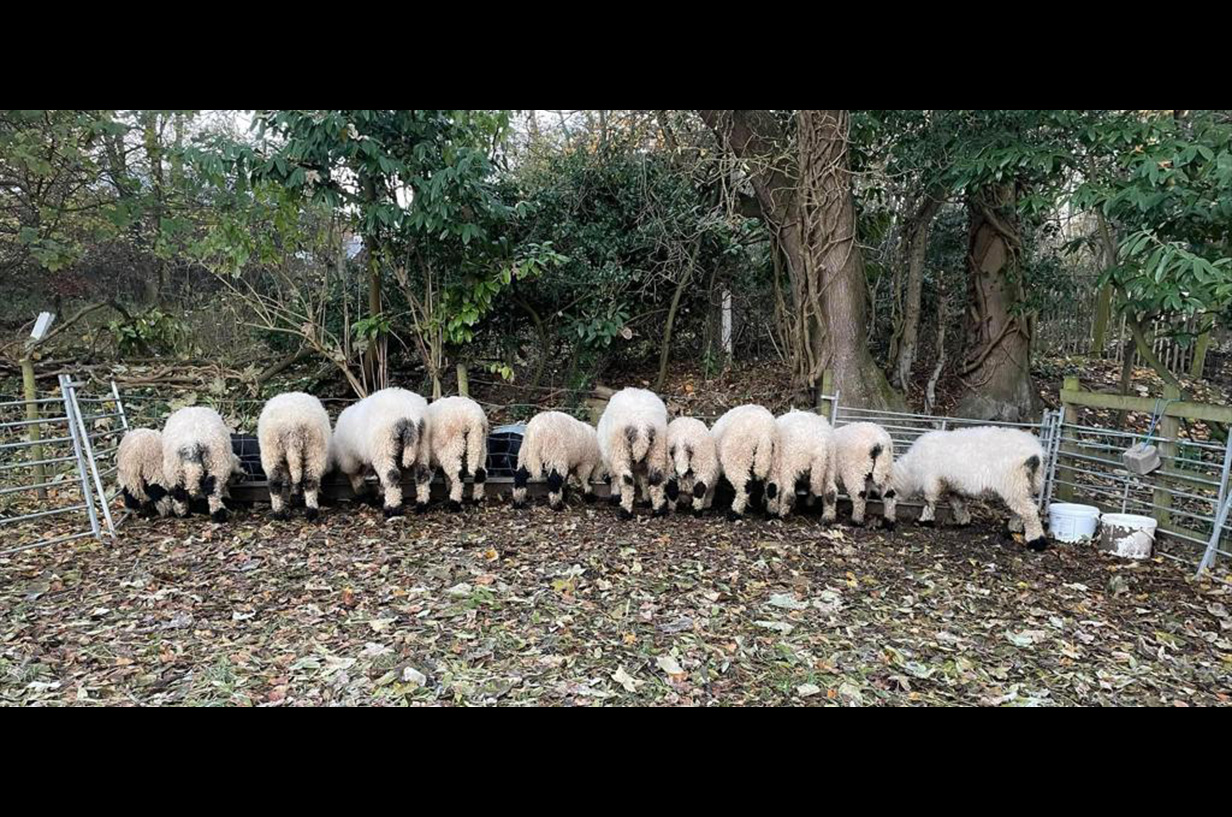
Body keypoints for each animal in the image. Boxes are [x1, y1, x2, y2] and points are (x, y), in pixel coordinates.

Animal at [257, 392, 332, 522]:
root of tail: (292, 426)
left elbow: (290, 479)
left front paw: (294, 497)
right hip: (314, 448)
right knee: (310, 480)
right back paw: (312, 512)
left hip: (272, 450)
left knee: (274, 483)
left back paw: (279, 513)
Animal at [331, 387, 430, 517]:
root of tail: (410, 416)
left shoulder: (349, 457)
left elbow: (355, 475)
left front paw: (363, 493)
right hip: (422, 445)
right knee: (422, 473)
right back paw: (422, 504)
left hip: (384, 446)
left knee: (392, 475)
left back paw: (392, 508)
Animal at [597, 388, 670, 519]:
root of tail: (641, 425)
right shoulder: (642, 465)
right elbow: (644, 479)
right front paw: (646, 500)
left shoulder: (610, 459)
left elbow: (615, 477)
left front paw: (615, 497)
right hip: (658, 448)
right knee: (656, 478)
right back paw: (658, 510)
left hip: (621, 449)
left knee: (626, 479)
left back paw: (625, 511)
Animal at [885, 426, 1048, 551]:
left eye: (888, 493)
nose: (888, 521)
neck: (911, 471)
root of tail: (1035, 452)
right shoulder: (952, 484)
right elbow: (957, 503)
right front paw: (963, 521)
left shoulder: (931, 480)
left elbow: (929, 501)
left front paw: (925, 521)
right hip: (1026, 484)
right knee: (1021, 510)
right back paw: (1013, 530)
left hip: (1013, 482)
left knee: (1029, 512)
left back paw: (1037, 541)